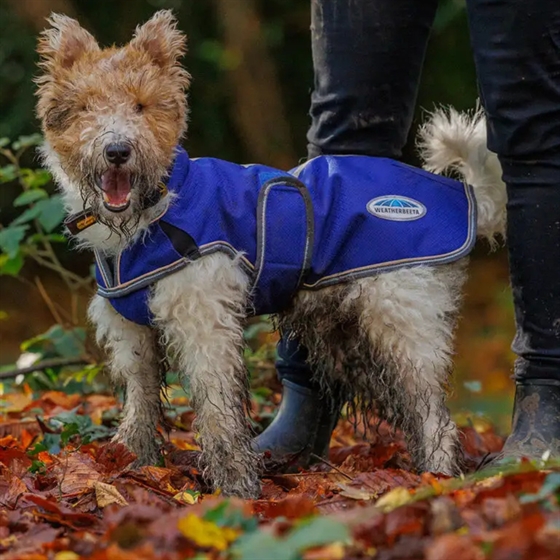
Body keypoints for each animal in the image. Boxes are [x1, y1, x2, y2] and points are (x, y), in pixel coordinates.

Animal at [35, 10, 506, 496]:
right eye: (86, 107)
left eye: (141, 107)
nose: (117, 150)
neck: (156, 208)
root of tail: (464, 196)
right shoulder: (131, 333)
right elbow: (140, 403)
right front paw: (132, 463)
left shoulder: (203, 322)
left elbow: (218, 411)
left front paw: (234, 487)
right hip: (346, 333)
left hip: (402, 324)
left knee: (434, 416)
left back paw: (437, 477)